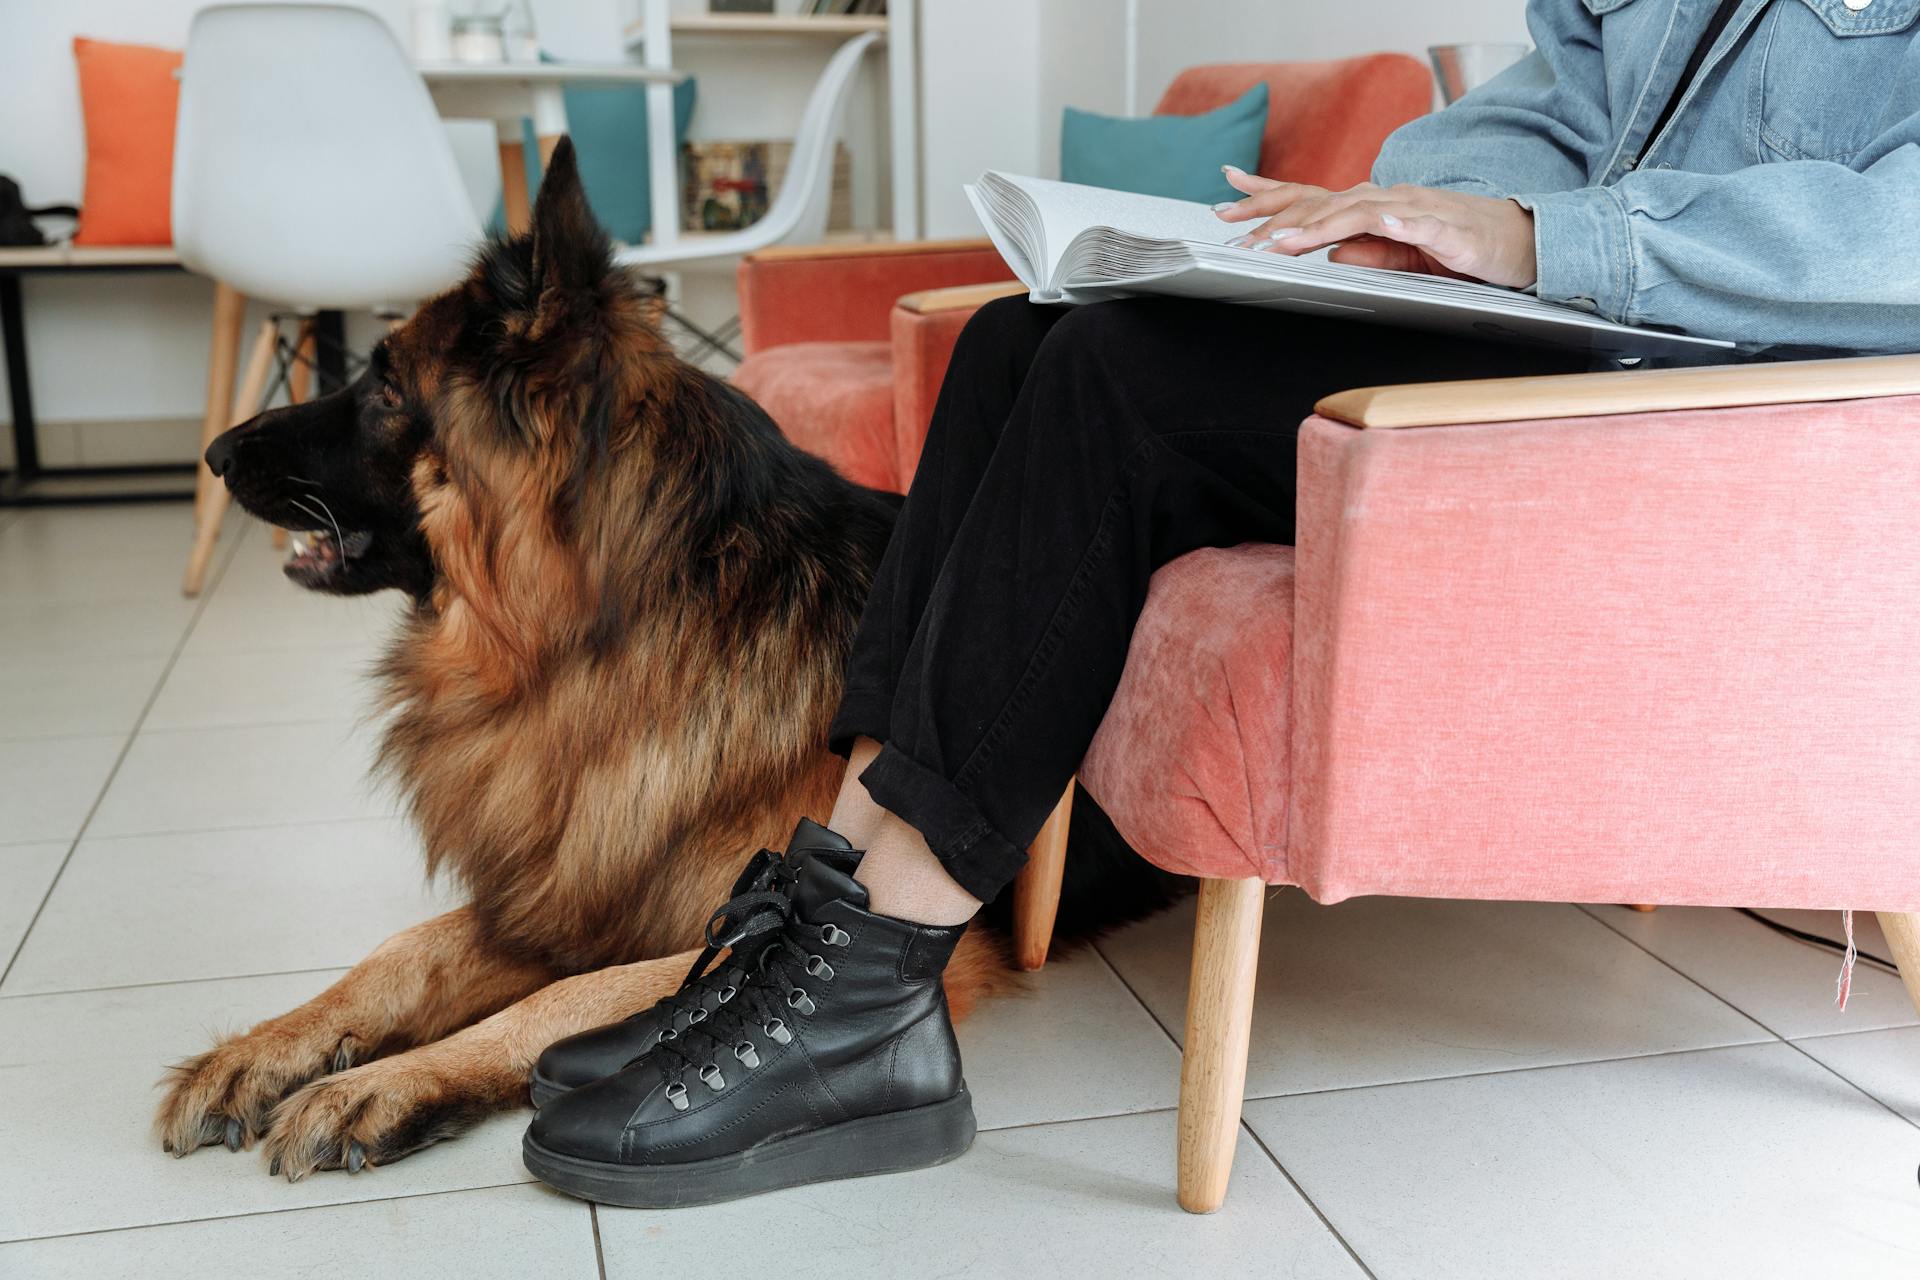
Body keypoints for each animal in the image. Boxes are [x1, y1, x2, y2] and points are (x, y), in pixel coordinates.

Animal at [165, 142, 1175, 1182]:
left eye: (384, 392)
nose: (215, 451)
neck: (611, 636)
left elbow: (562, 999)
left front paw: (394, 1081)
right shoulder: (573, 884)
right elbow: (404, 952)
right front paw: (272, 1044)